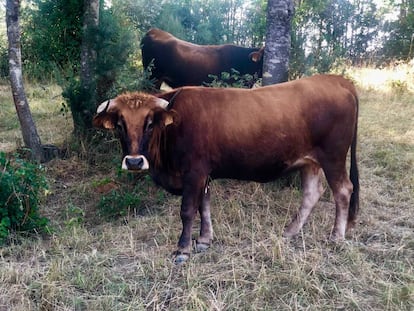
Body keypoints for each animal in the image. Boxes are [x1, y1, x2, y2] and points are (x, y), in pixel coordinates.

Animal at [94, 75, 360, 264]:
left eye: (150, 124)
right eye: (119, 125)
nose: (134, 162)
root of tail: (335, 79)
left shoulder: (194, 172)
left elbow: (188, 210)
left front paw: (183, 249)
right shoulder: (204, 175)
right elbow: (204, 207)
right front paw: (204, 240)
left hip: (333, 157)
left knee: (343, 190)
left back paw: (336, 236)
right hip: (310, 161)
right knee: (312, 193)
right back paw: (291, 232)